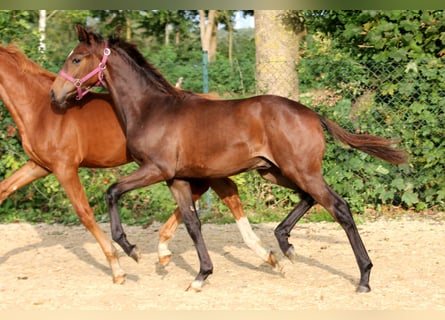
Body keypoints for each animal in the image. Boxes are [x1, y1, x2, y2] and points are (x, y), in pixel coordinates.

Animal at [0, 43, 274, 284]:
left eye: (76, 59)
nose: (55, 95)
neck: (40, 110)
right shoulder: (39, 165)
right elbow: (4, 190)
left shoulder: (64, 167)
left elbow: (84, 213)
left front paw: (119, 267)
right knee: (224, 193)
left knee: (223, 193)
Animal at [50, 26, 408, 292]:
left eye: (77, 58)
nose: (55, 95)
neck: (152, 110)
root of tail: (312, 113)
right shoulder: (177, 179)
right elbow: (192, 224)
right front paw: (200, 275)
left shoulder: (156, 169)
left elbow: (112, 192)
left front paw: (131, 248)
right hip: (274, 171)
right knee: (310, 199)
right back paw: (285, 245)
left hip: (300, 170)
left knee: (339, 208)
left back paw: (363, 277)